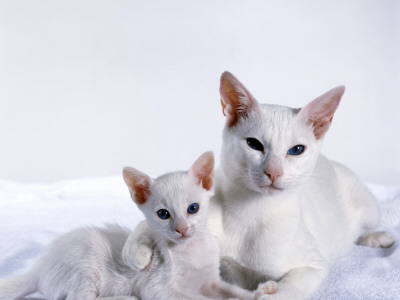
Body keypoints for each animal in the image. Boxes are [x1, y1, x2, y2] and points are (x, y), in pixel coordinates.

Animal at [0, 152, 276, 300]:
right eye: (163, 214)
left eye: (193, 208)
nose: (181, 229)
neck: (191, 252)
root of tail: (38, 268)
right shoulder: (159, 289)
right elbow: (194, 299)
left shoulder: (211, 281)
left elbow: (232, 292)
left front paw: (258, 293)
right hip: (84, 269)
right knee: (81, 298)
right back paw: (126, 297)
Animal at [123, 72, 396, 300]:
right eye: (254, 144)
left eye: (296, 150)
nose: (273, 171)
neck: (253, 211)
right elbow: (147, 223)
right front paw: (135, 252)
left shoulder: (313, 266)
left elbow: (284, 291)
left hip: (369, 207)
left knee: (364, 227)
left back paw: (378, 237)